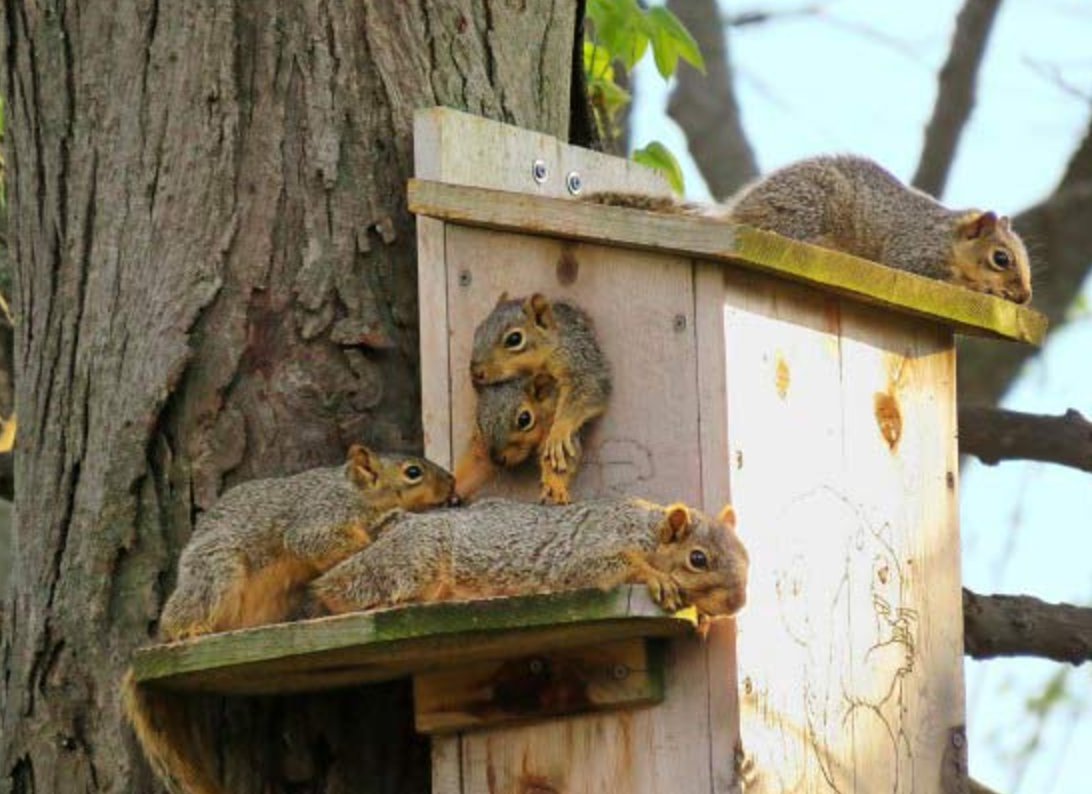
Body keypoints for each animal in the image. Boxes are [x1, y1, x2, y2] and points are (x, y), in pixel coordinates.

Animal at [124, 444, 456, 794]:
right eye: (413, 472)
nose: (452, 483)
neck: (356, 493)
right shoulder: (318, 519)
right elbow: (315, 542)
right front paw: (377, 534)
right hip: (218, 571)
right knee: (183, 612)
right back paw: (188, 630)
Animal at [308, 497, 749, 620]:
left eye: (746, 556)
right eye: (697, 559)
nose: (737, 604)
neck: (645, 530)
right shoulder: (588, 550)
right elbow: (606, 564)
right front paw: (657, 578)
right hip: (415, 562)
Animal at [460, 293, 611, 504]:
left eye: (515, 339)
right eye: (477, 332)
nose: (475, 372)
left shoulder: (576, 359)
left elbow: (588, 388)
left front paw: (560, 432)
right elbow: (478, 459)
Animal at [589, 154, 1033, 305]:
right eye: (1001, 258)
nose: (1025, 297)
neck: (947, 237)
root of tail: (738, 215)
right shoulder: (914, 253)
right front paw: (985, 289)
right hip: (807, 211)